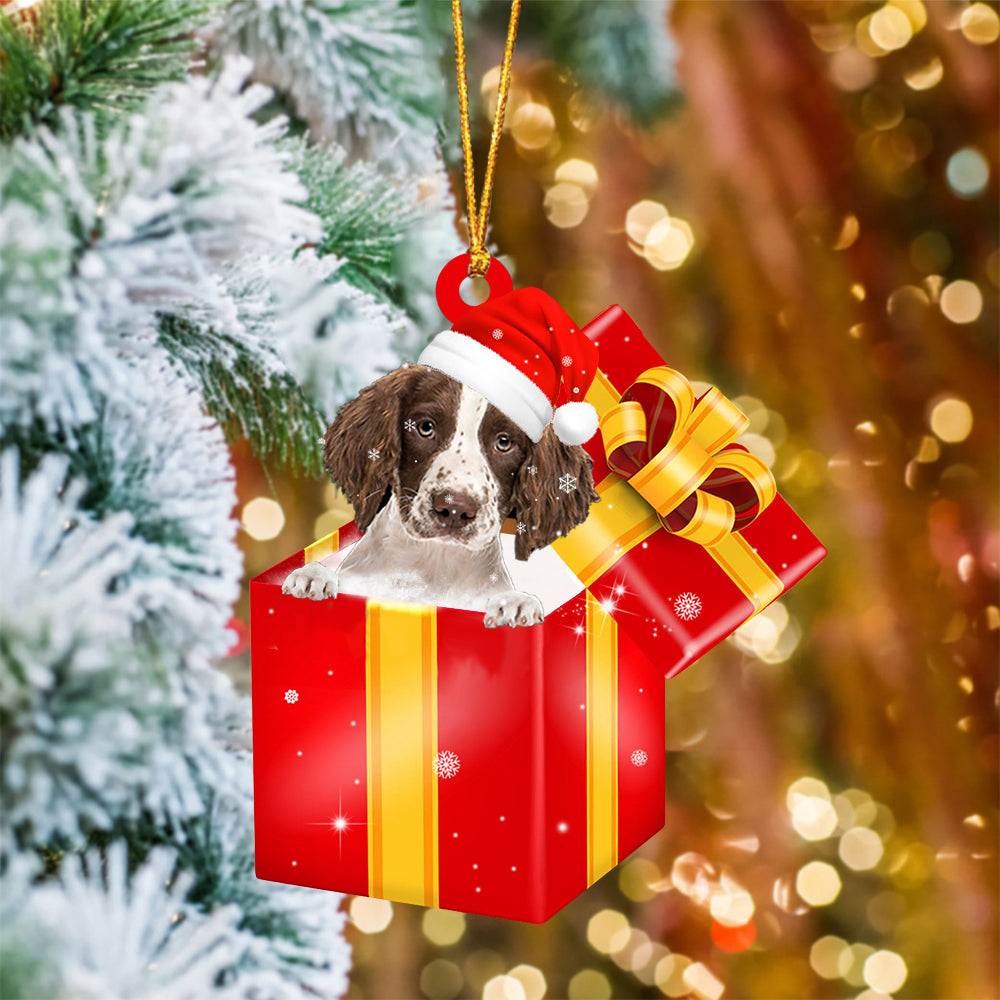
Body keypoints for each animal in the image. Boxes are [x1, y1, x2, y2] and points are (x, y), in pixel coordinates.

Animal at [282, 364, 596, 624]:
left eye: (504, 442)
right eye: (425, 428)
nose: (455, 509)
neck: (433, 568)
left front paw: (516, 605)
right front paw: (314, 576)